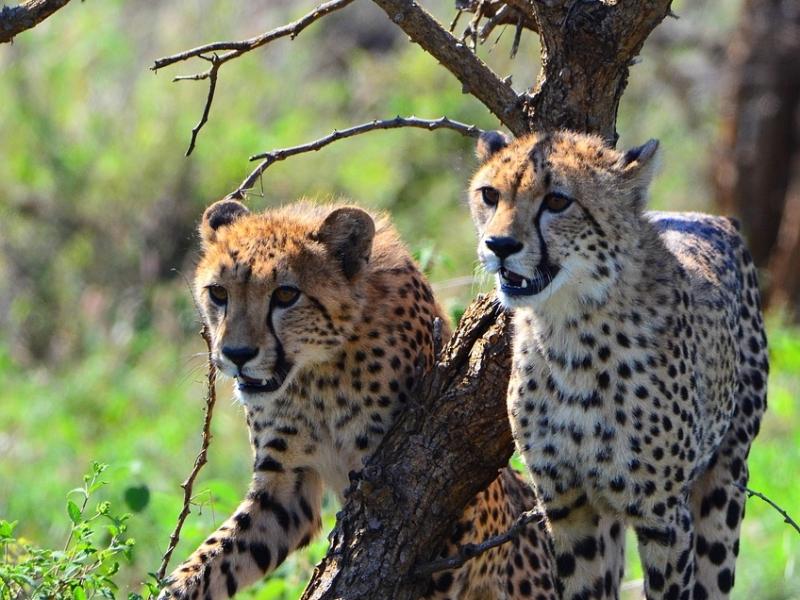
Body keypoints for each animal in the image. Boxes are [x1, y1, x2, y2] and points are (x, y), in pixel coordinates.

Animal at [159, 198, 558, 599]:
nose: (236, 354)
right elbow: (211, 559)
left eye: (286, 295)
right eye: (218, 293)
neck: (316, 374)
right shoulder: (285, 491)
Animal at [468, 130, 768, 600]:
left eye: (557, 201)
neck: (569, 332)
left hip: (726, 476)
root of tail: (705, 217)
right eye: (490, 195)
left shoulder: (663, 516)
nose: (499, 246)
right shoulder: (568, 505)